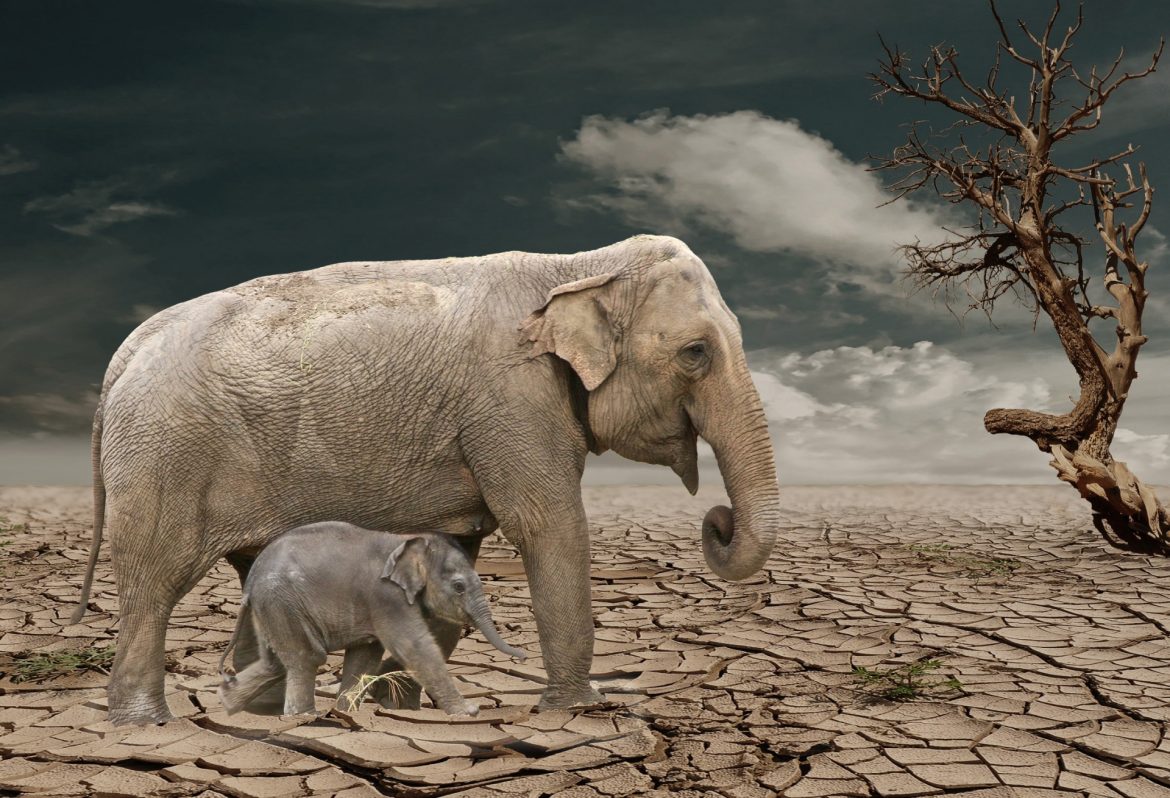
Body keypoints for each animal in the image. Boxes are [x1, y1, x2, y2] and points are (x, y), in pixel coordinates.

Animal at [217, 523, 525, 717]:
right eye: (459, 586)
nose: (522, 656)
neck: (409, 540)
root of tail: (250, 583)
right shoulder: (386, 597)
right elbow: (413, 647)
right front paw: (468, 713)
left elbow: (365, 655)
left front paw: (346, 712)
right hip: (282, 601)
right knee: (307, 657)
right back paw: (304, 717)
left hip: (272, 607)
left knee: (276, 664)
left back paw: (227, 703)